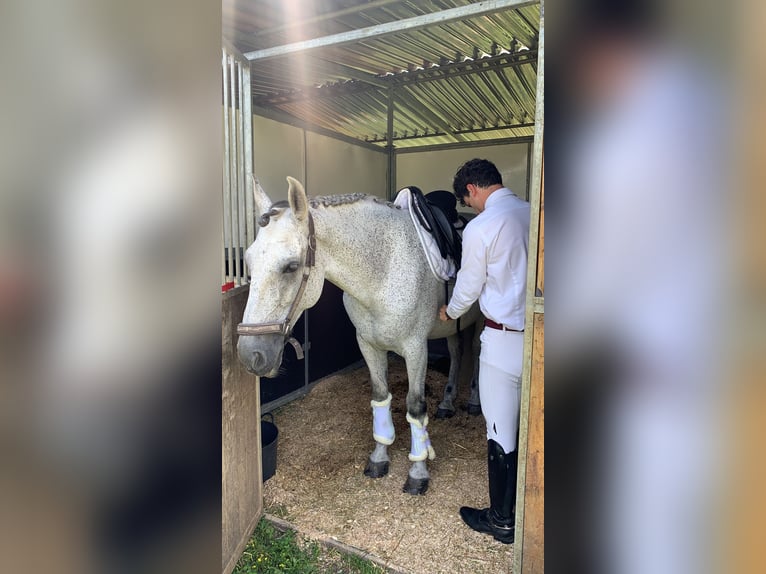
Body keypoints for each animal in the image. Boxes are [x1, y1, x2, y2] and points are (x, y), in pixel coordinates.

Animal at [237, 178, 484, 498]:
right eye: (248, 261)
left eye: (291, 266)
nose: (250, 354)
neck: (385, 268)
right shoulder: (367, 344)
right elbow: (380, 397)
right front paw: (379, 458)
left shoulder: (416, 349)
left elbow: (415, 407)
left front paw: (418, 472)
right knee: (456, 354)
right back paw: (447, 403)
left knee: (476, 357)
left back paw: (474, 402)